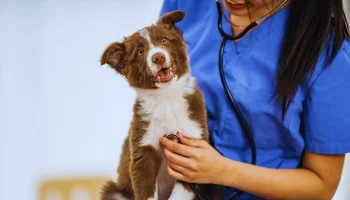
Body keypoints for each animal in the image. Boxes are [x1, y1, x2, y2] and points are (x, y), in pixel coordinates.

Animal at [99, 10, 219, 200]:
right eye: (140, 52)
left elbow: (181, 192)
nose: (158, 57)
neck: (166, 98)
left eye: (164, 41)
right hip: (115, 191)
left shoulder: (191, 147)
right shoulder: (143, 148)